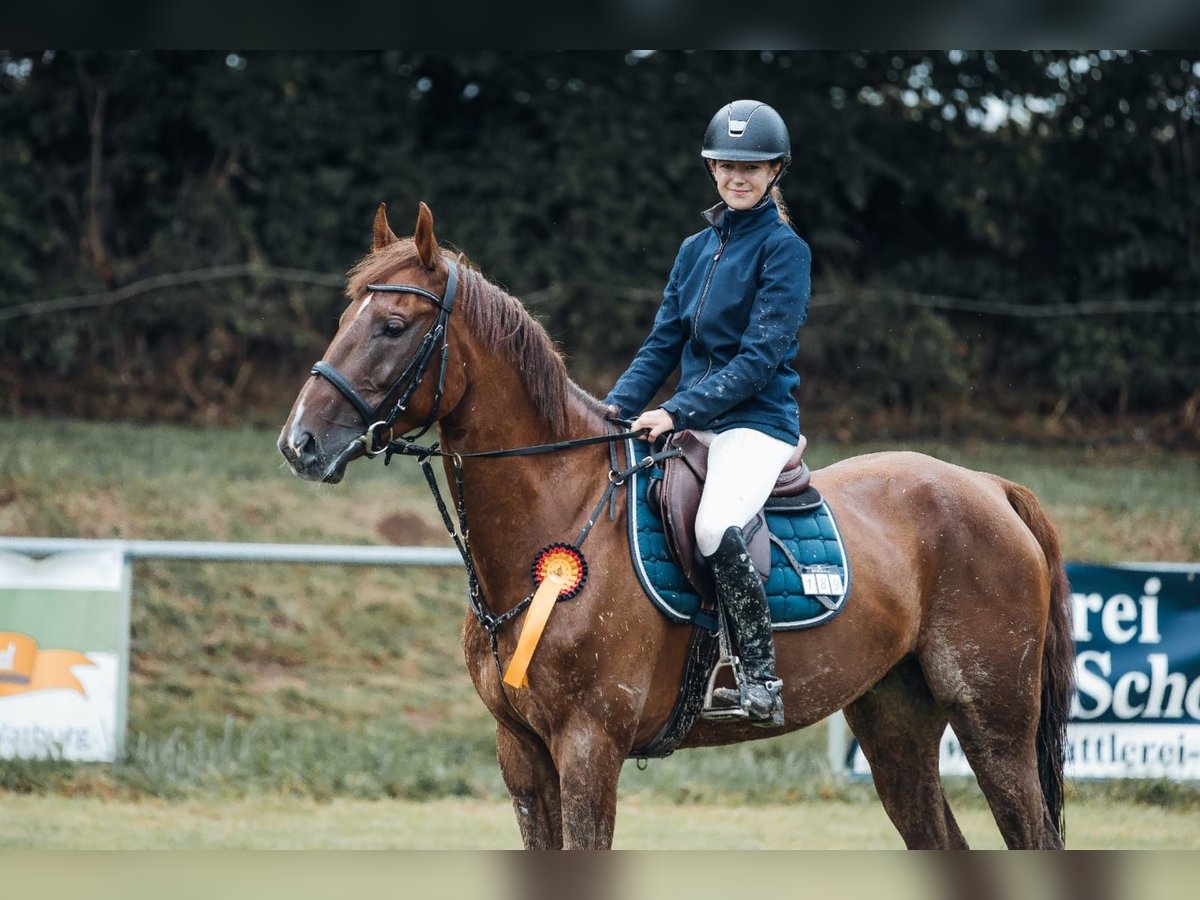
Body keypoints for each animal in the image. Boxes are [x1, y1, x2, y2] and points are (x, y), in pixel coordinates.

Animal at [280, 200, 1080, 849]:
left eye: (391, 326)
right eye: (343, 320)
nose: (301, 444)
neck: (557, 516)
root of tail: (989, 486)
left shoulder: (588, 748)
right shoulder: (521, 753)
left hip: (994, 723)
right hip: (897, 725)